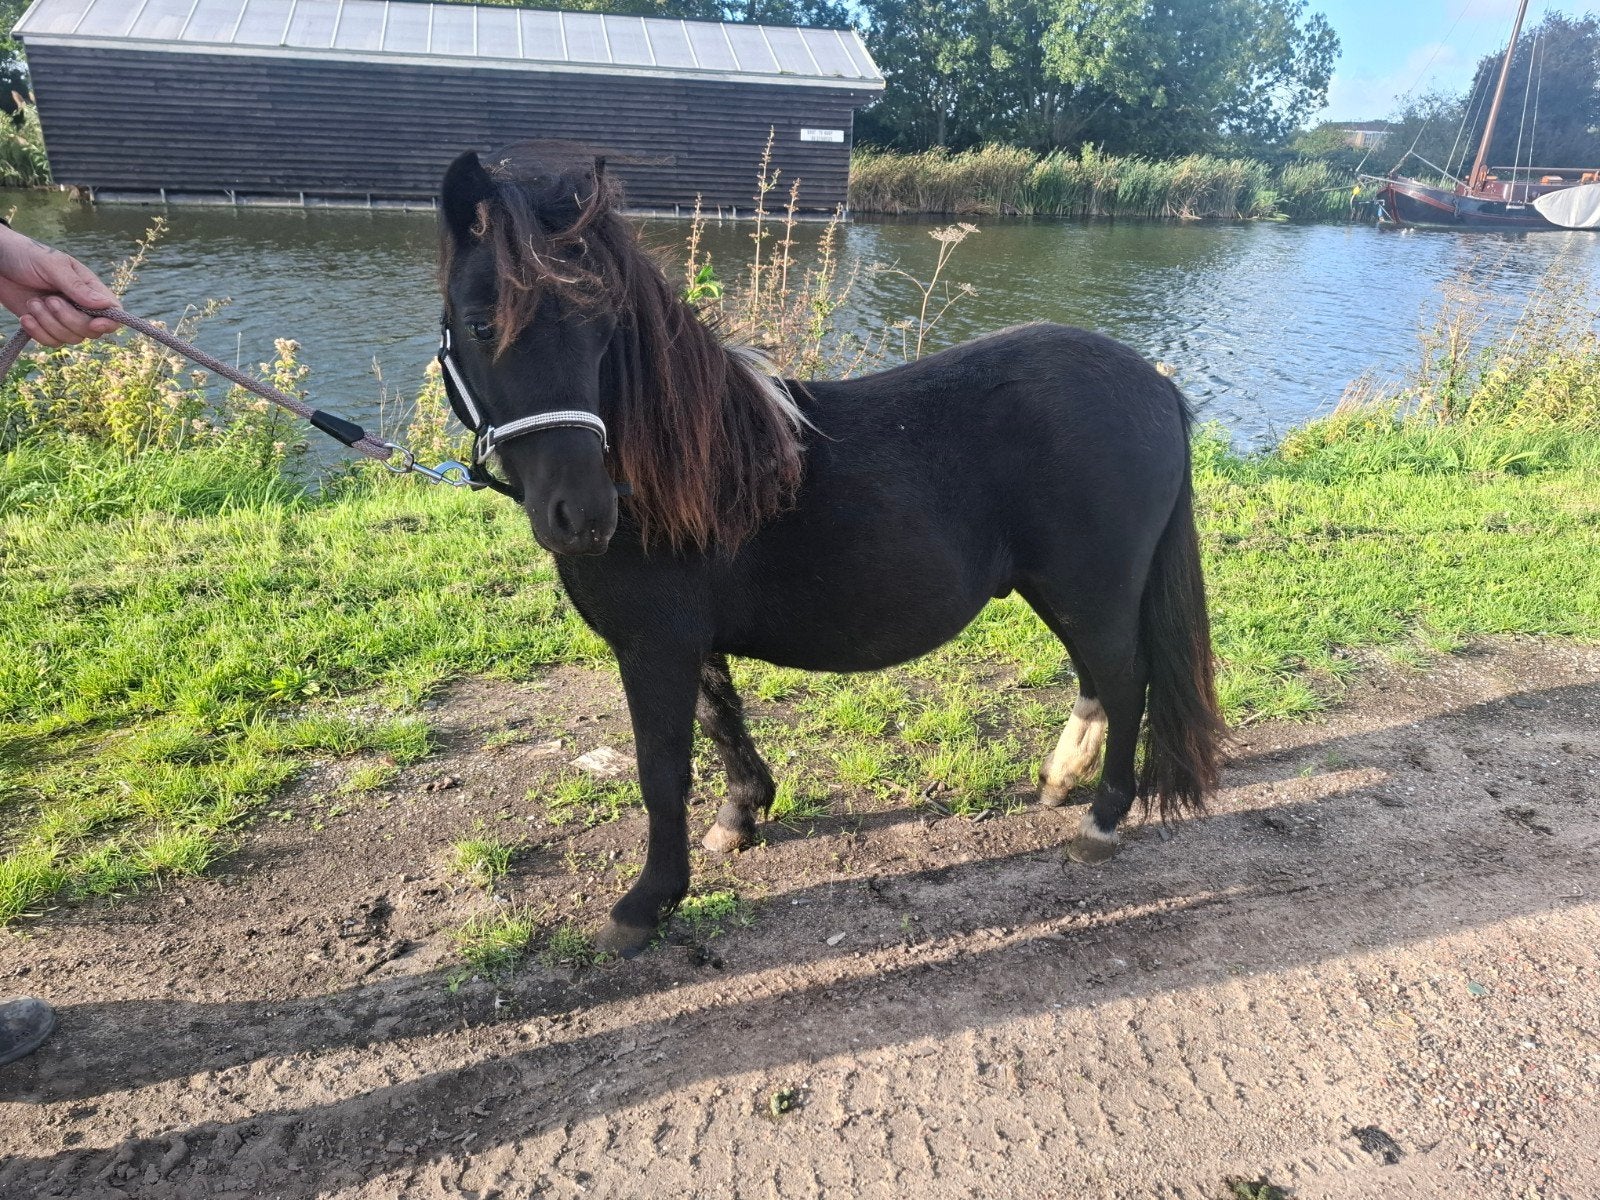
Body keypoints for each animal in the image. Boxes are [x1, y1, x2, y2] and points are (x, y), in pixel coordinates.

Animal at [437, 143, 1225, 957]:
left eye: (604, 328)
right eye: (478, 322)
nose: (582, 516)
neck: (679, 470)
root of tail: (1155, 387)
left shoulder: (655, 644)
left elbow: (662, 766)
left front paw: (647, 902)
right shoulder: (689, 641)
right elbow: (721, 721)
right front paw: (741, 816)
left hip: (1091, 586)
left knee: (1126, 681)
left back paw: (1100, 821)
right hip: (1064, 588)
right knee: (1099, 677)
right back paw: (1059, 780)